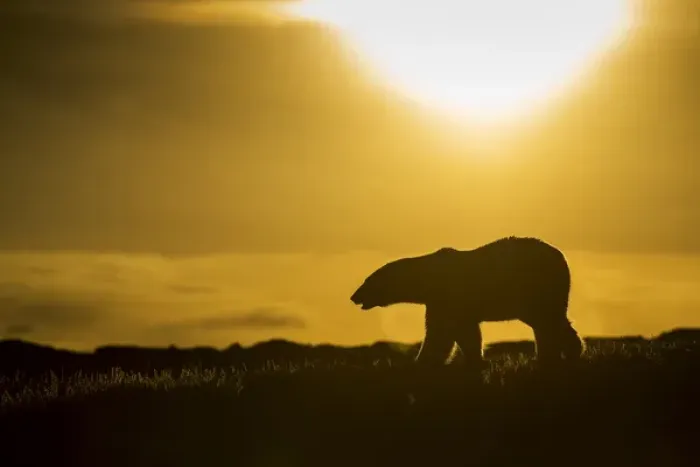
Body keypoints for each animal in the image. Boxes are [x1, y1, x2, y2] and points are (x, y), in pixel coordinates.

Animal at [349, 236, 583, 367]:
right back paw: (552, 356)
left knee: (547, 319)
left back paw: (566, 354)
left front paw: (422, 361)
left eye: (367, 281)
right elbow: (461, 331)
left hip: (537, 287)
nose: (353, 296)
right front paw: (474, 359)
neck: (429, 276)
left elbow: (442, 332)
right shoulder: (441, 302)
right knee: (546, 322)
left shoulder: (449, 297)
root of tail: (561, 257)